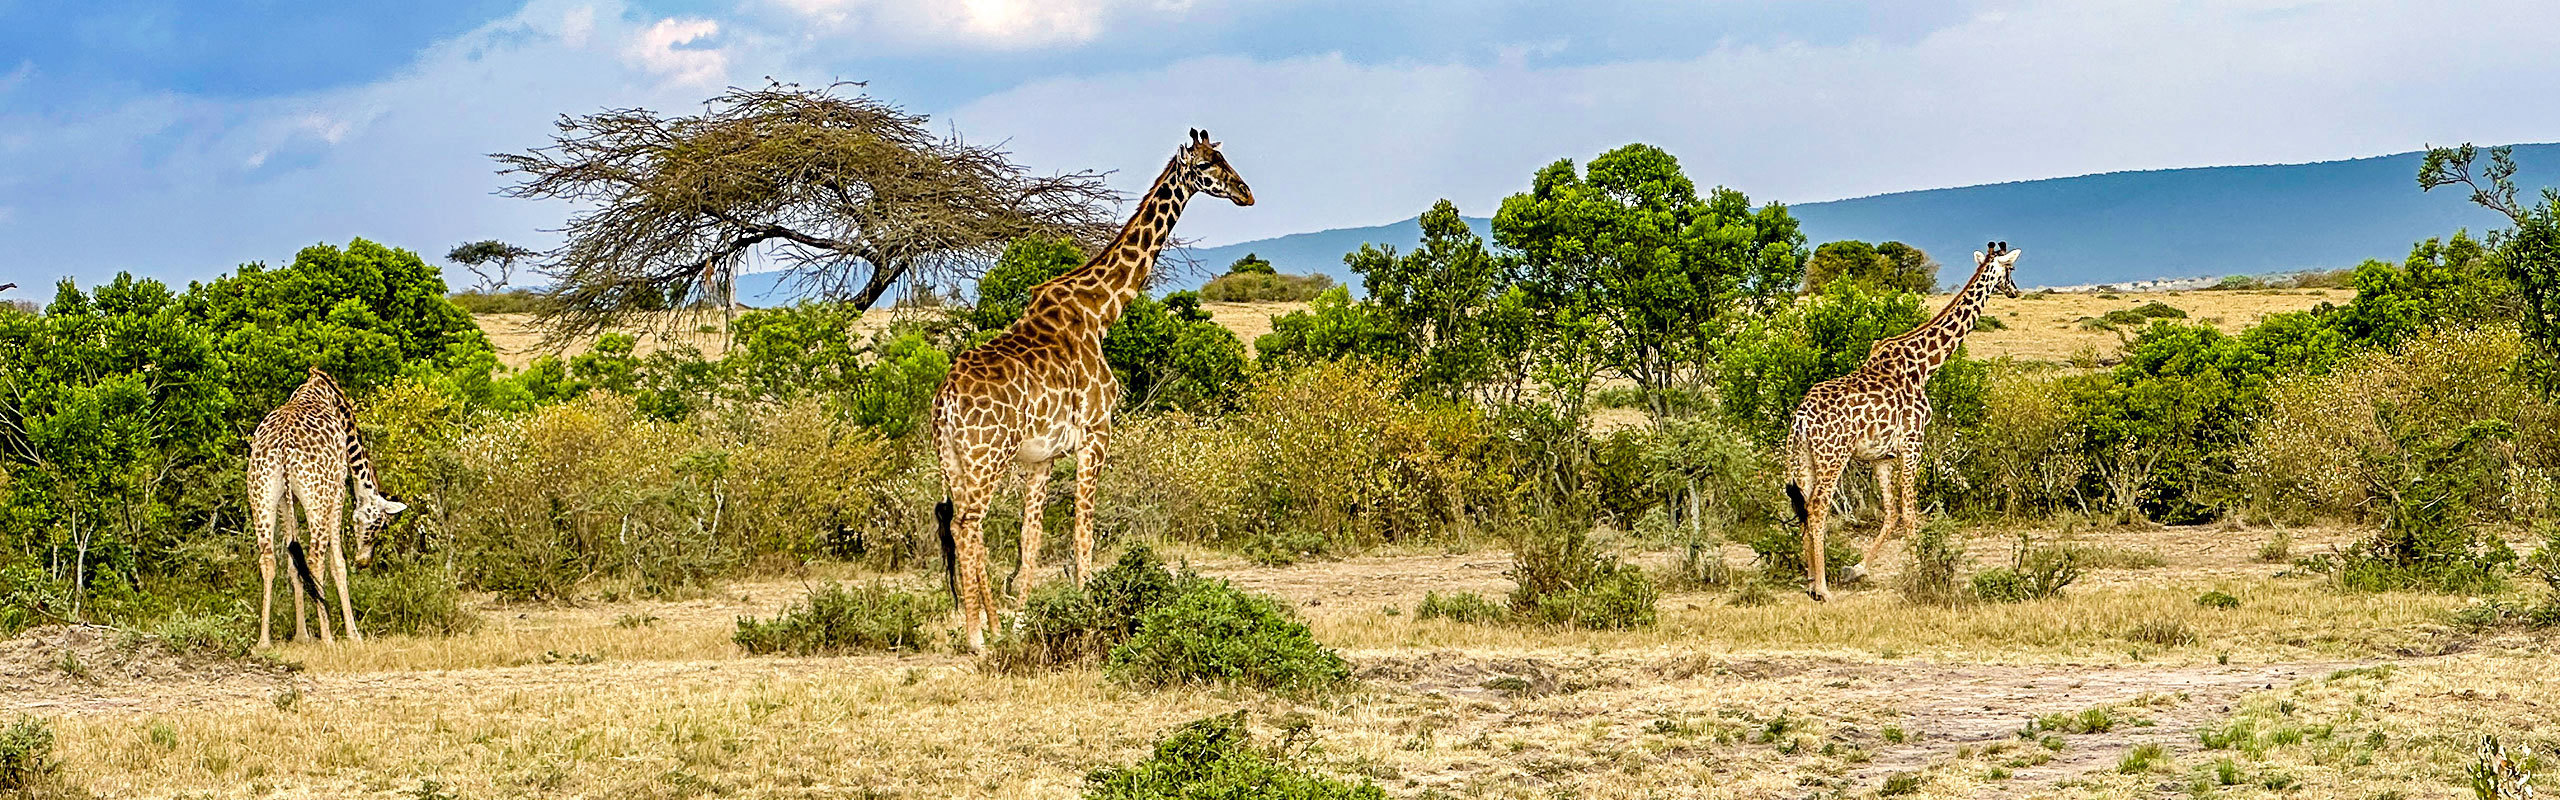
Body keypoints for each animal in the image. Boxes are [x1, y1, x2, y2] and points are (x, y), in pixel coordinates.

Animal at [244, 366, 404, 646]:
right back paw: (327, 637)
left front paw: (301, 635)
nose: (364, 560)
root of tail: (283, 448)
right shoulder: (339, 488)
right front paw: (353, 634)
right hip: (318, 496)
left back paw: (263, 641)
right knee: (315, 558)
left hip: (262, 493)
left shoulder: (286, 501)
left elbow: (292, 565)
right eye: (380, 524)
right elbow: (337, 562)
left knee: (269, 559)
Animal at [942, 126, 1259, 651]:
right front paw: (1088, 609)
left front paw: (1021, 621)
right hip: (988, 455)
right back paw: (975, 636)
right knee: (968, 524)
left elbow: (1031, 537)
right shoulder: (1097, 433)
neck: (1100, 311)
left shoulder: (1043, 455)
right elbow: (1082, 530)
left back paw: (989, 625)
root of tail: (945, 401)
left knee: (963, 523)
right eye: (1207, 165)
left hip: (952, 458)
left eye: (1224, 157)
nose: (1246, 192)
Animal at [1781, 242, 2017, 600]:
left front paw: (1855, 569)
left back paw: (1810, 581)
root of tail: (1801, 418)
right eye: (2012, 269)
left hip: (1805, 457)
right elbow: (1909, 511)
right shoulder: (1912, 443)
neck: (1925, 365)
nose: (2015, 291)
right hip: (1834, 456)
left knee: (1804, 507)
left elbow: (1890, 513)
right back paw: (1822, 589)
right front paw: (1920, 575)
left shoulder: (1882, 457)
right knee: (1818, 508)